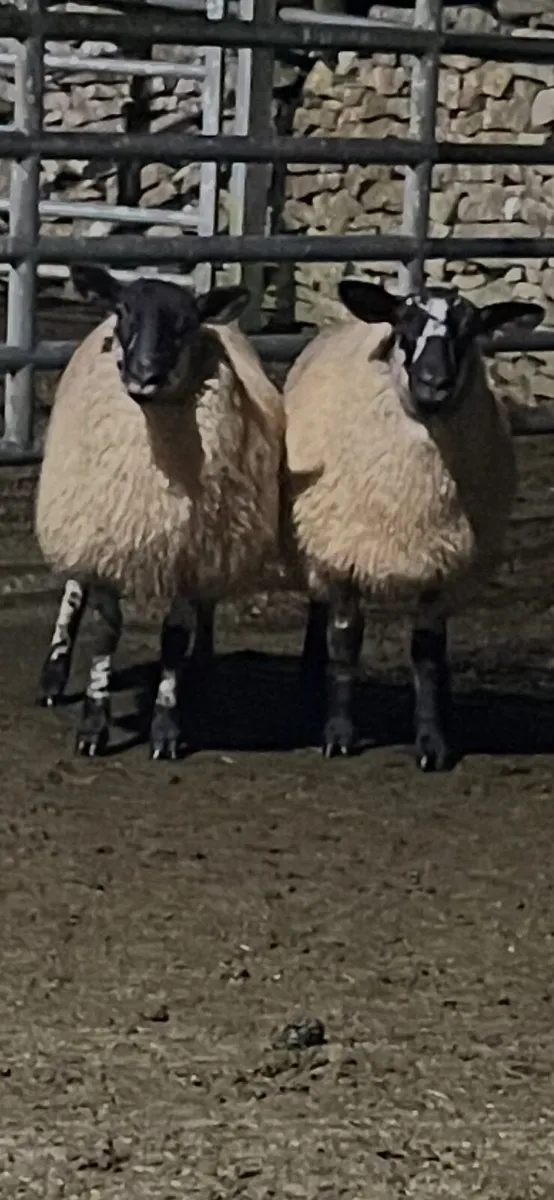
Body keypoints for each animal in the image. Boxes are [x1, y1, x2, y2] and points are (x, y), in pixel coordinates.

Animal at [35, 264, 284, 760]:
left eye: (187, 323)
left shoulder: (192, 549)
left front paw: (167, 727)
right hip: (77, 513)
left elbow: (174, 637)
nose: (145, 375)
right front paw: (93, 727)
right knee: (72, 590)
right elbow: (107, 629)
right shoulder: (106, 538)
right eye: (124, 310)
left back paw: (201, 667)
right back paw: (54, 674)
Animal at [283, 276, 544, 771]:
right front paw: (338, 734)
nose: (433, 383)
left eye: (470, 330)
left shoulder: (443, 565)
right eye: (405, 326)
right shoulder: (345, 553)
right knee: (319, 612)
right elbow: (344, 641)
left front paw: (433, 741)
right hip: (321, 538)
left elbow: (427, 654)